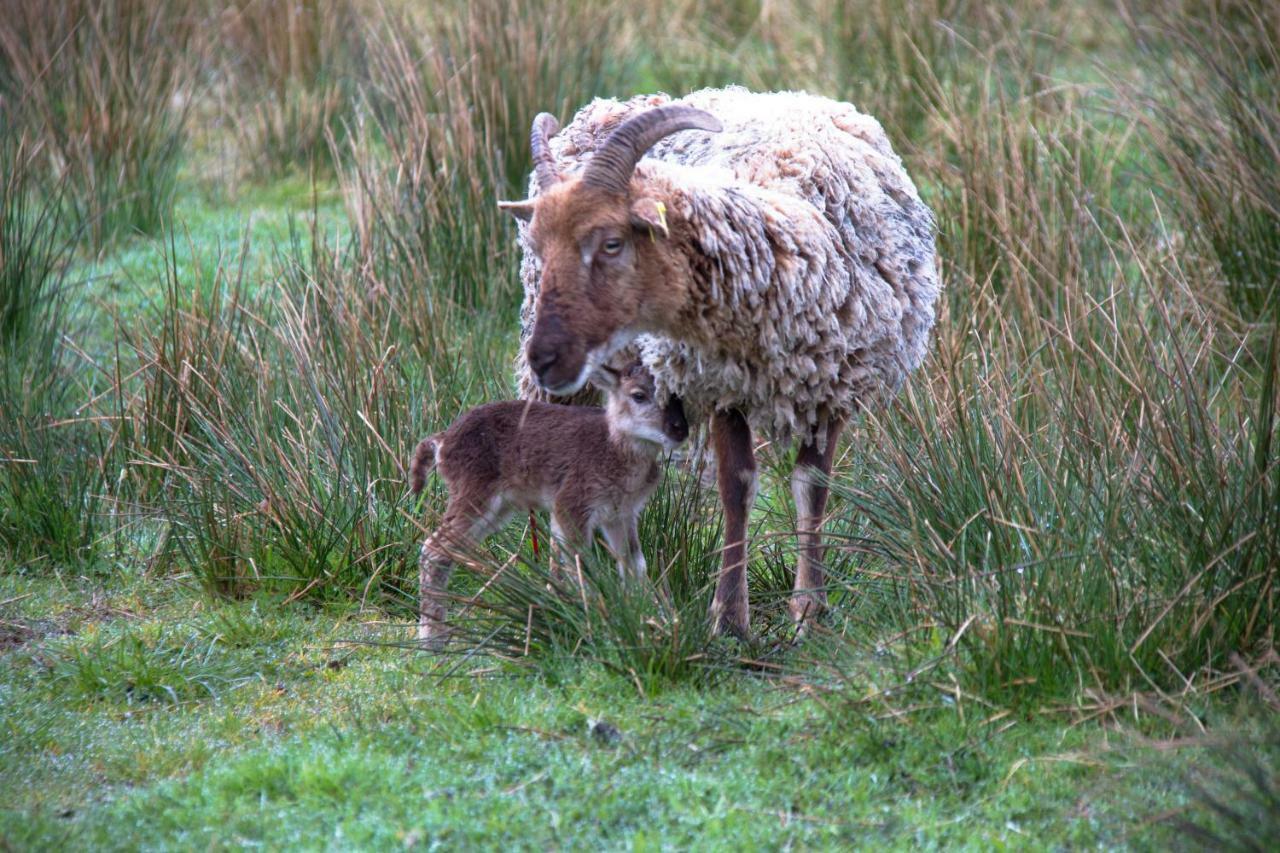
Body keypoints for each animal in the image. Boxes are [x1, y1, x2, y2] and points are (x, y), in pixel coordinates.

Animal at [409, 358, 691, 645]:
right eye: (638, 395)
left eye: (678, 395)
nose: (680, 429)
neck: (614, 454)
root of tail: (442, 441)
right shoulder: (571, 502)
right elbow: (581, 563)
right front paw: (595, 624)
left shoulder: (622, 513)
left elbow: (633, 564)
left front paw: (650, 620)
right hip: (473, 491)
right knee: (432, 548)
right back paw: (430, 640)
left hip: (497, 508)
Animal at [501, 86, 942, 637]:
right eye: (542, 246)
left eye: (612, 243)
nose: (545, 358)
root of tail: (607, 102)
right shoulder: (722, 382)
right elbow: (738, 487)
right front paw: (730, 617)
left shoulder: (834, 384)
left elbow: (812, 488)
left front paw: (809, 609)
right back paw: (559, 584)